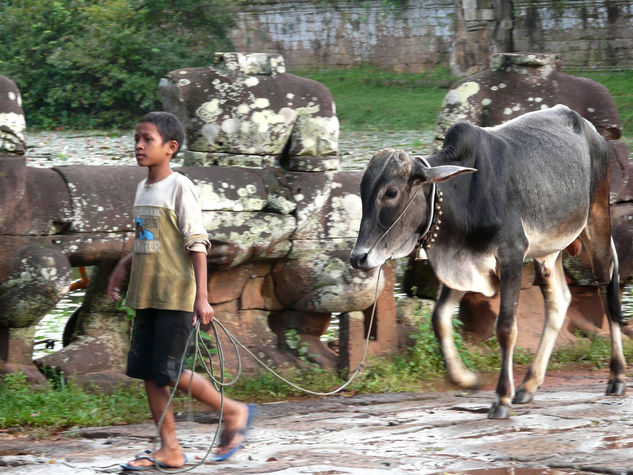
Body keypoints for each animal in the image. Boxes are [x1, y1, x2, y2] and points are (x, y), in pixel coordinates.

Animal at [350, 106, 628, 418]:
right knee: (559, 302)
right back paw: (529, 385)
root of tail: (590, 128)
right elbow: (439, 318)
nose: (358, 257)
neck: (465, 192)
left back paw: (616, 376)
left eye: (391, 192)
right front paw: (465, 378)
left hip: (596, 221)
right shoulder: (462, 264)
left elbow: (506, 327)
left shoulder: (511, 256)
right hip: (548, 251)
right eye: (363, 192)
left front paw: (501, 398)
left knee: (607, 289)